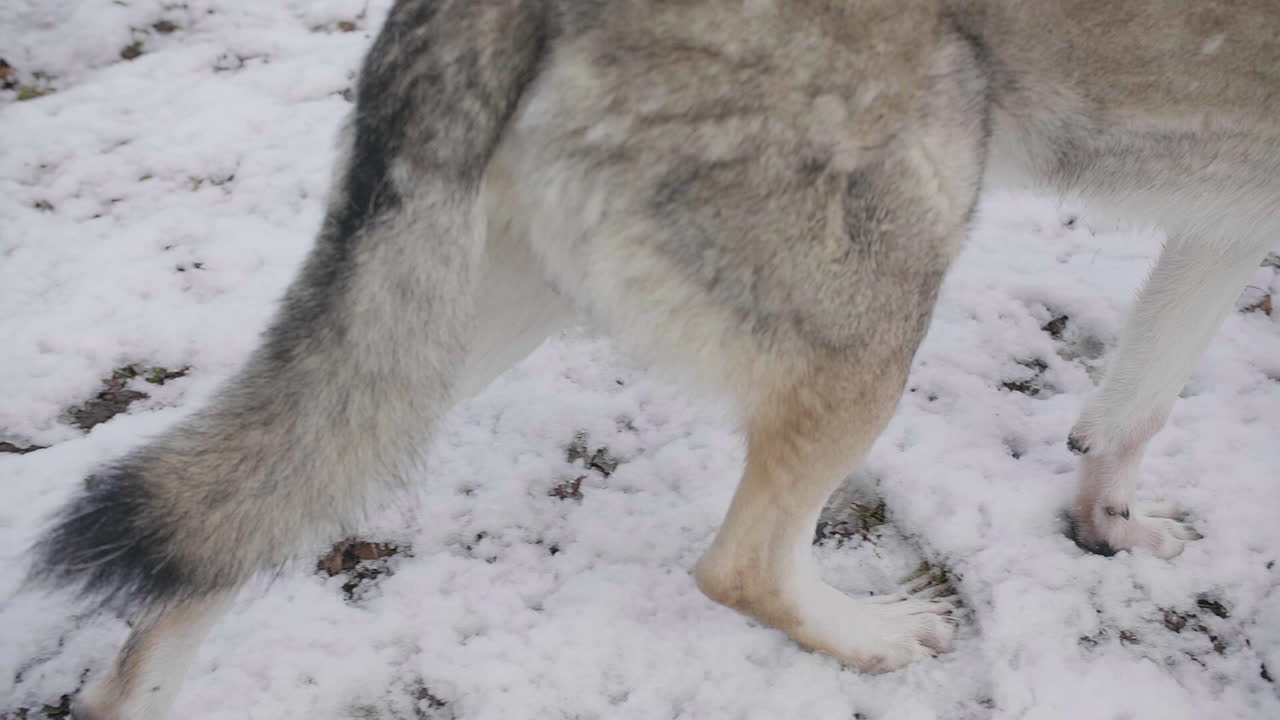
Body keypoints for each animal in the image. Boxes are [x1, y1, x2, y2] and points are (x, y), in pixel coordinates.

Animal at [29, 1, 1279, 717]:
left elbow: (1133, 406)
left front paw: (1108, 528)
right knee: (739, 566)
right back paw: (870, 640)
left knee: (213, 557)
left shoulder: (1222, 225)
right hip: (883, 313)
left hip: (447, 332)